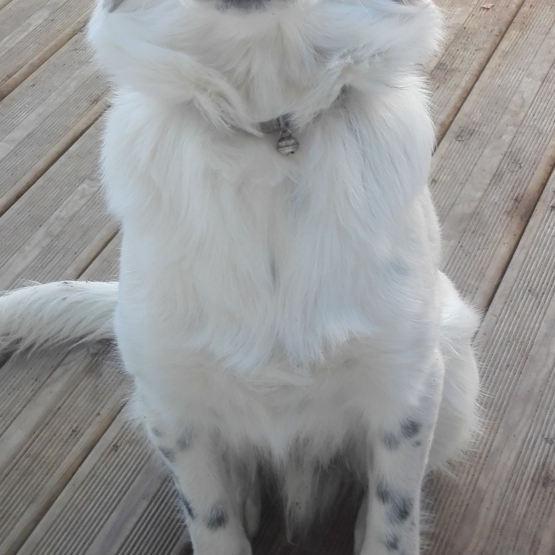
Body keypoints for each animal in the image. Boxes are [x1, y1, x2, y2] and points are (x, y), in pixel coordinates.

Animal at [0, 0, 480, 552]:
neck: (267, 127)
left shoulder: (406, 385)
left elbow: (393, 520)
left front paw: (379, 528)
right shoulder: (171, 398)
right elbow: (211, 519)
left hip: (455, 370)